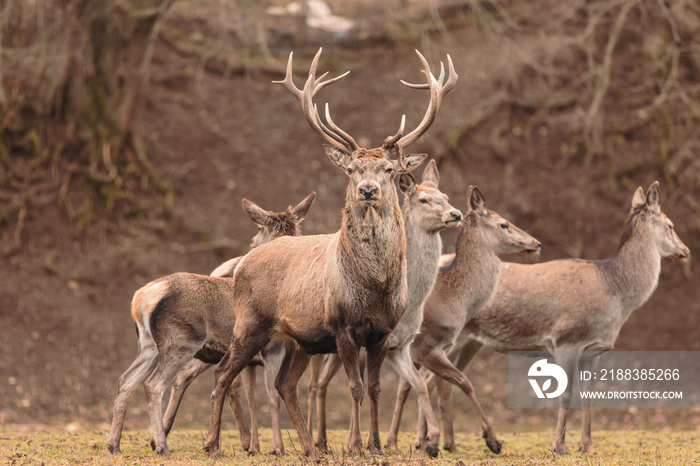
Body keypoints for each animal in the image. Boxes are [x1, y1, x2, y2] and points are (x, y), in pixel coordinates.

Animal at [106, 192, 314, 456]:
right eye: (258, 227)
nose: (251, 243)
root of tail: (140, 299)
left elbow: (256, 397)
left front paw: (257, 447)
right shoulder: (272, 348)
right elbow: (271, 395)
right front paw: (277, 448)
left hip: (149, 346)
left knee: (126, 381)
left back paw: (114, 445)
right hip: (181, 342)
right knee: (154, 384)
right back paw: (162, 445)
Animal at [310, 159, 460, 456]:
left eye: (445, 195)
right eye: (423, 199)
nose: (456, 214)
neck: (413, 305)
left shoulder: (400, 345)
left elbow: (416, 385)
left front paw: (429, 440)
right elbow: (360, 387)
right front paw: (356, 443)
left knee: (320, 384)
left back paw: (320, 441)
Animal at [388, 184, 540, 454]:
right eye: (504, 224)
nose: (536, 242)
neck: (457, 302)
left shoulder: (438, 347)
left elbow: (424, 384)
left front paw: (426, 441)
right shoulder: (427, 347)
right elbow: (459, 381)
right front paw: (490, 439)